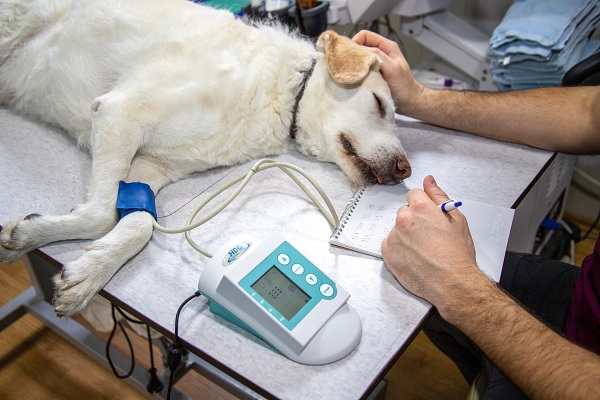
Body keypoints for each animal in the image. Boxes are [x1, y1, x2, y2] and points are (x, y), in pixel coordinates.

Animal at [0, 0, 412, 318]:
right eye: (379, 104)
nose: (406, 170)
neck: (281, 92)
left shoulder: (149, 167)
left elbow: (139, 224)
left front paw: (85, 269)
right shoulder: (120, 113)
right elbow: (102, 214)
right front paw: (37, 237)